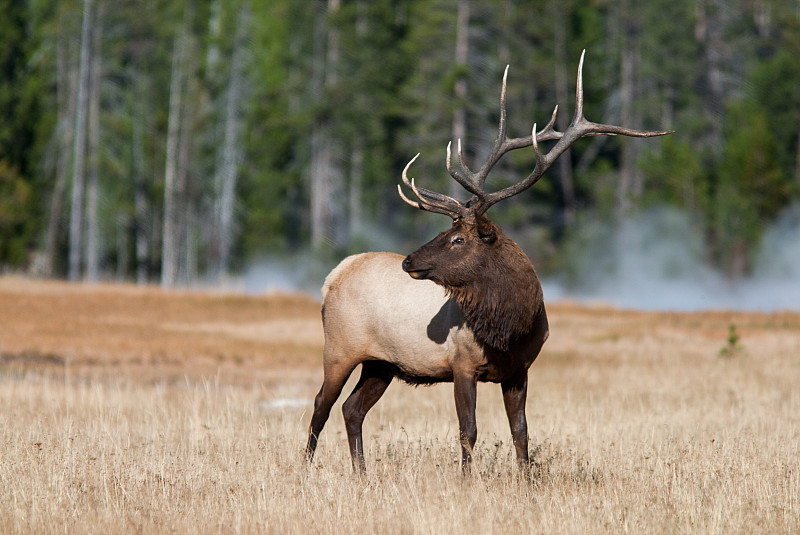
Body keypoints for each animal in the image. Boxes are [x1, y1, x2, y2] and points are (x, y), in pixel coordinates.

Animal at [304, 52, 672, 476]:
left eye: (457, 238)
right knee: (321, 404)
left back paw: (362, 473)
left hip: (383, 364)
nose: (409, 260)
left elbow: (520, 431)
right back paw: (306, 469)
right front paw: (467, 480)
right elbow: (469, 430)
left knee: (352, 409)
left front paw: (526, 480)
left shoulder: (520, 369)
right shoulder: (461, 364)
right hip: (339, 347)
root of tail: (333, 275)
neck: (510, 328)